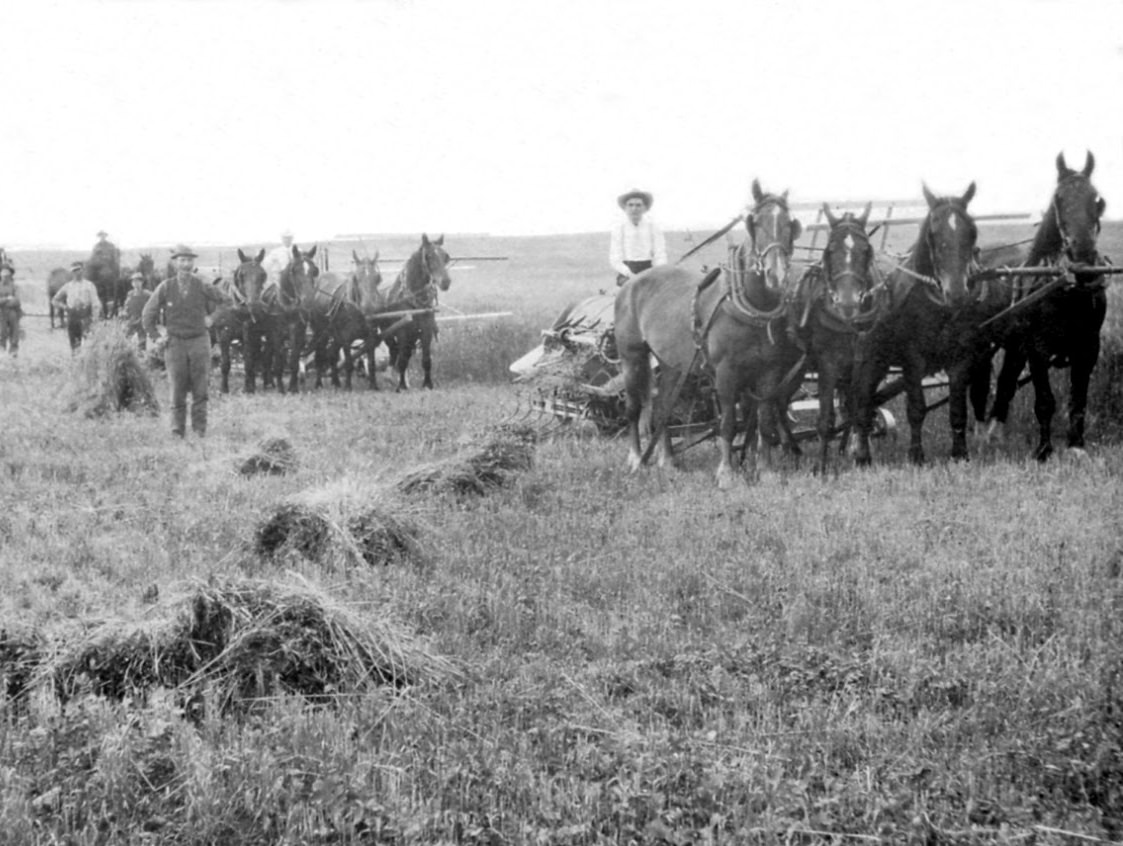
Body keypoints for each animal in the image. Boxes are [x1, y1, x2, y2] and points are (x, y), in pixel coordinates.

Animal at [381, 231, 451, 388]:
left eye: (446, 256)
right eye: (428, 256)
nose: (446, 282)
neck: (415, 303)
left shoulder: (426, 331)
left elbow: (426, 360)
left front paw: (428, 384)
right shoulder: (402, 332)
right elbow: (402, 360)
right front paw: (401, 386)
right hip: (387, 334)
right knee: (395, 351)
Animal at [615, 179, 808, 487]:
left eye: (790, 224)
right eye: (756, 223)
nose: (776, 275)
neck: (754, 307)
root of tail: (632, 283)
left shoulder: (769, 374)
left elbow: (765, 422)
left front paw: (766, 471)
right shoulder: (726, 375)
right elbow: (728, 423)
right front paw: (726, 473)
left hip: (673, 364)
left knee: (663, 407)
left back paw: (667, 462)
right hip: (631, 358)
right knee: (633, 408)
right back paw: (636, 460)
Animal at [786, 201, 880, 471]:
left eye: (866, 250)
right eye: (829, 250)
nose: (848, 303)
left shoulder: (867, 361)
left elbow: (861, 410)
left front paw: (862, 457)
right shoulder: (827, 363)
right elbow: (826, 418)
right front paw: (821, 467)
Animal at [853, 180, 997, 465]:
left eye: (972, 231)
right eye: (933, 233)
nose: (956, 293)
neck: (938, 308)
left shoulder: (961, 358)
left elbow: (958, 410)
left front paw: (960, 453)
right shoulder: (912, 359)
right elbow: (916, 408)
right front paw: (916, 455)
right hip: (869, 358)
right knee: (862, 401)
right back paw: (862, 454)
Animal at [983, 149, 1105, 458]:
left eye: (1096, 199)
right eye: (1058, 199)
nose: (1082, 254)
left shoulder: (1088, 347)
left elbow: (1078, 401)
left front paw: (1076, 446)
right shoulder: (1037, 348)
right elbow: (1045, 401)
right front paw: (1044, 450)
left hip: (1014, 345)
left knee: (1005, 382)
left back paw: (994, 432)